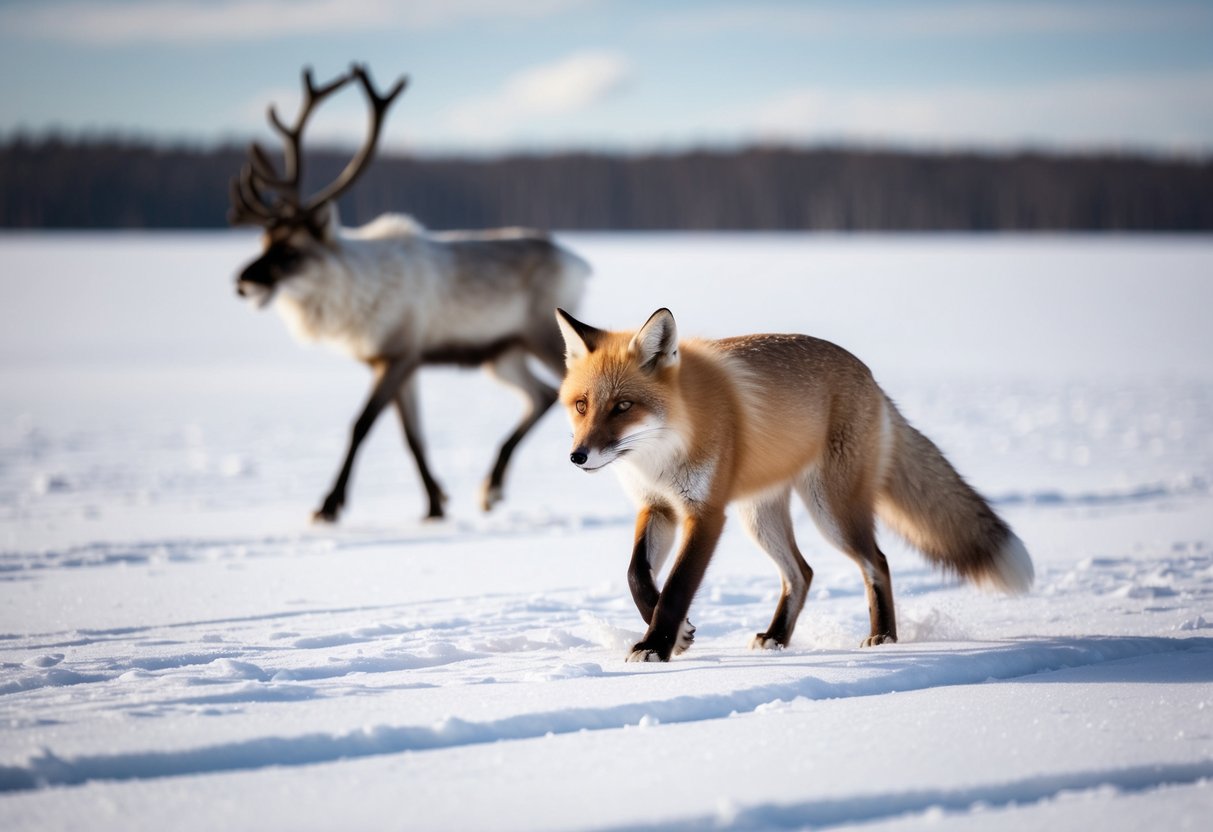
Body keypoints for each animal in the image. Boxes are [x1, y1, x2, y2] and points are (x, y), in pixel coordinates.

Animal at [228, 64, 590, 523]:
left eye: (291, 249)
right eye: (263, 242)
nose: (242, 282)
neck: (353, 294)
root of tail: (579, 262)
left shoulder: (399, 355)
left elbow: (361, 425)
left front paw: (328, 506)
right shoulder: (399, 361)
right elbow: (412, 435)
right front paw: (435, 504)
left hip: (541, 338)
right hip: (502, 354)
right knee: (540, 396)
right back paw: (490, 488)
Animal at [555, 307, 1033, 662]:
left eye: (623, 406)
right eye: (581, 405)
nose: (578, 457)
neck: (663, 451)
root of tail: (870, 376)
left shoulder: (706, 513)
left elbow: (676, 587)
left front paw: (657, 645)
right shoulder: (658, 506)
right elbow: (637, 575)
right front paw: (678, 635)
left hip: (831, 512)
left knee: (876, 562)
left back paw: (883, 637)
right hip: (760, 517)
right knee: (802, 572)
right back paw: (777, 638)